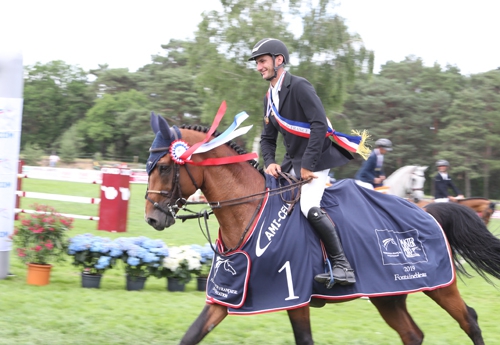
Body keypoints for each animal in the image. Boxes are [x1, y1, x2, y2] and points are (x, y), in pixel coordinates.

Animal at [144, 111, 500, 342]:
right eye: (149, 166)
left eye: (164, 167)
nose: (152, 218)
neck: (250, 211)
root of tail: (427, 211)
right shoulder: (229, 296)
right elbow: (191, 335)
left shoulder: (294, 296)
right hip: (388, 294)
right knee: (412, 334)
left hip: (439, 286)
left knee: (469, 321)